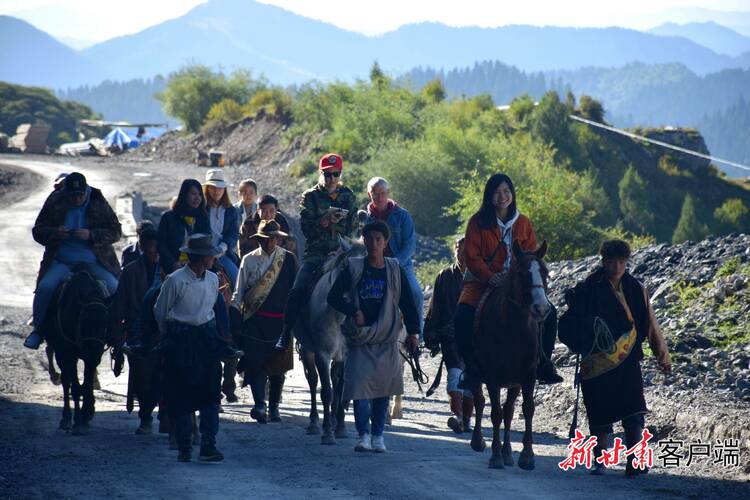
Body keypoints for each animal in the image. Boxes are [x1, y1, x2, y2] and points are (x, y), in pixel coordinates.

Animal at [44, 270, 111, 434]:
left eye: (106, 324)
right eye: (84, 322)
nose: (94, 351)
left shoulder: (92, 357)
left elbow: (86, 384)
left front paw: (87, 413)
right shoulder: (67, 353)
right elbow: (74, 386)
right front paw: (78, 421)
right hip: (62, 354)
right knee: (66, 381)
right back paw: (67, 418)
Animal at [300, 237, 370, 446]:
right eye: (346, 265)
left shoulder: (344, 356)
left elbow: (339, 388)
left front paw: (339, 427)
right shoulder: (322, 354)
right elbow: (327, 392)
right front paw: (327, 433)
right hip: (308, 351)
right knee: (313, 382)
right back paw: (314, 423)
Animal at [470, 240, 552, 470]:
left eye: (545, 272)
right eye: (523, 274)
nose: (542, 308)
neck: (513, 330)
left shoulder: (527, 376)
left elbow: (526, 409)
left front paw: (527, 455)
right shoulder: (492, 377)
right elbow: (495, 413)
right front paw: (495, 455)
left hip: (514, 383)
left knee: (508, 411)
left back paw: (507, 452)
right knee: (479, 401)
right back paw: (479, 441)